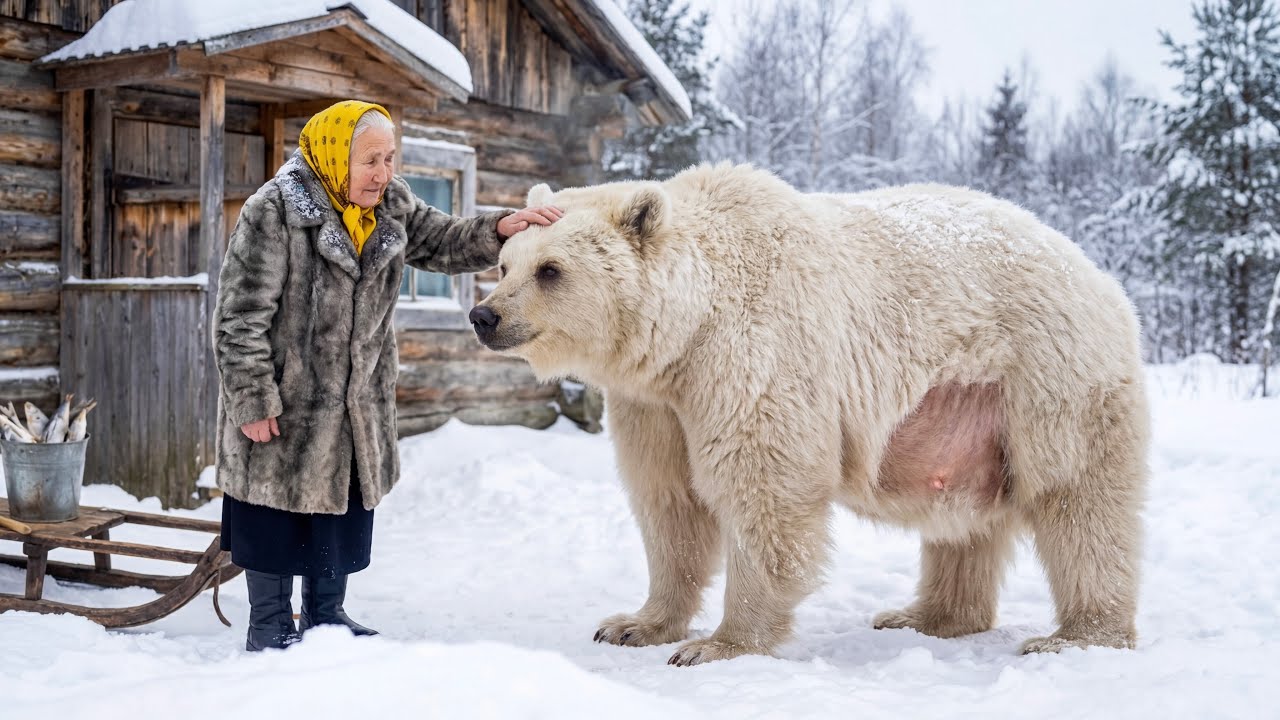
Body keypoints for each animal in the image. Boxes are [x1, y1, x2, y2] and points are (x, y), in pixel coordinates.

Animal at [468, 162, 1149, 666]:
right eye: (504, 264)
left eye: (551, 270)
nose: (485, 315)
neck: (690, 326)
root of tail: (1099, 275)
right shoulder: (655, 401)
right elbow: (669, 500)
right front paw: (633, 624)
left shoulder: (754, 353)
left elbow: (762, 484)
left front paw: (719, 645)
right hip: (970, 414)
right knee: (964, 522)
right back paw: (926, 616)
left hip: (1048, 379)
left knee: (1078, 502)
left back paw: (1076, 636)